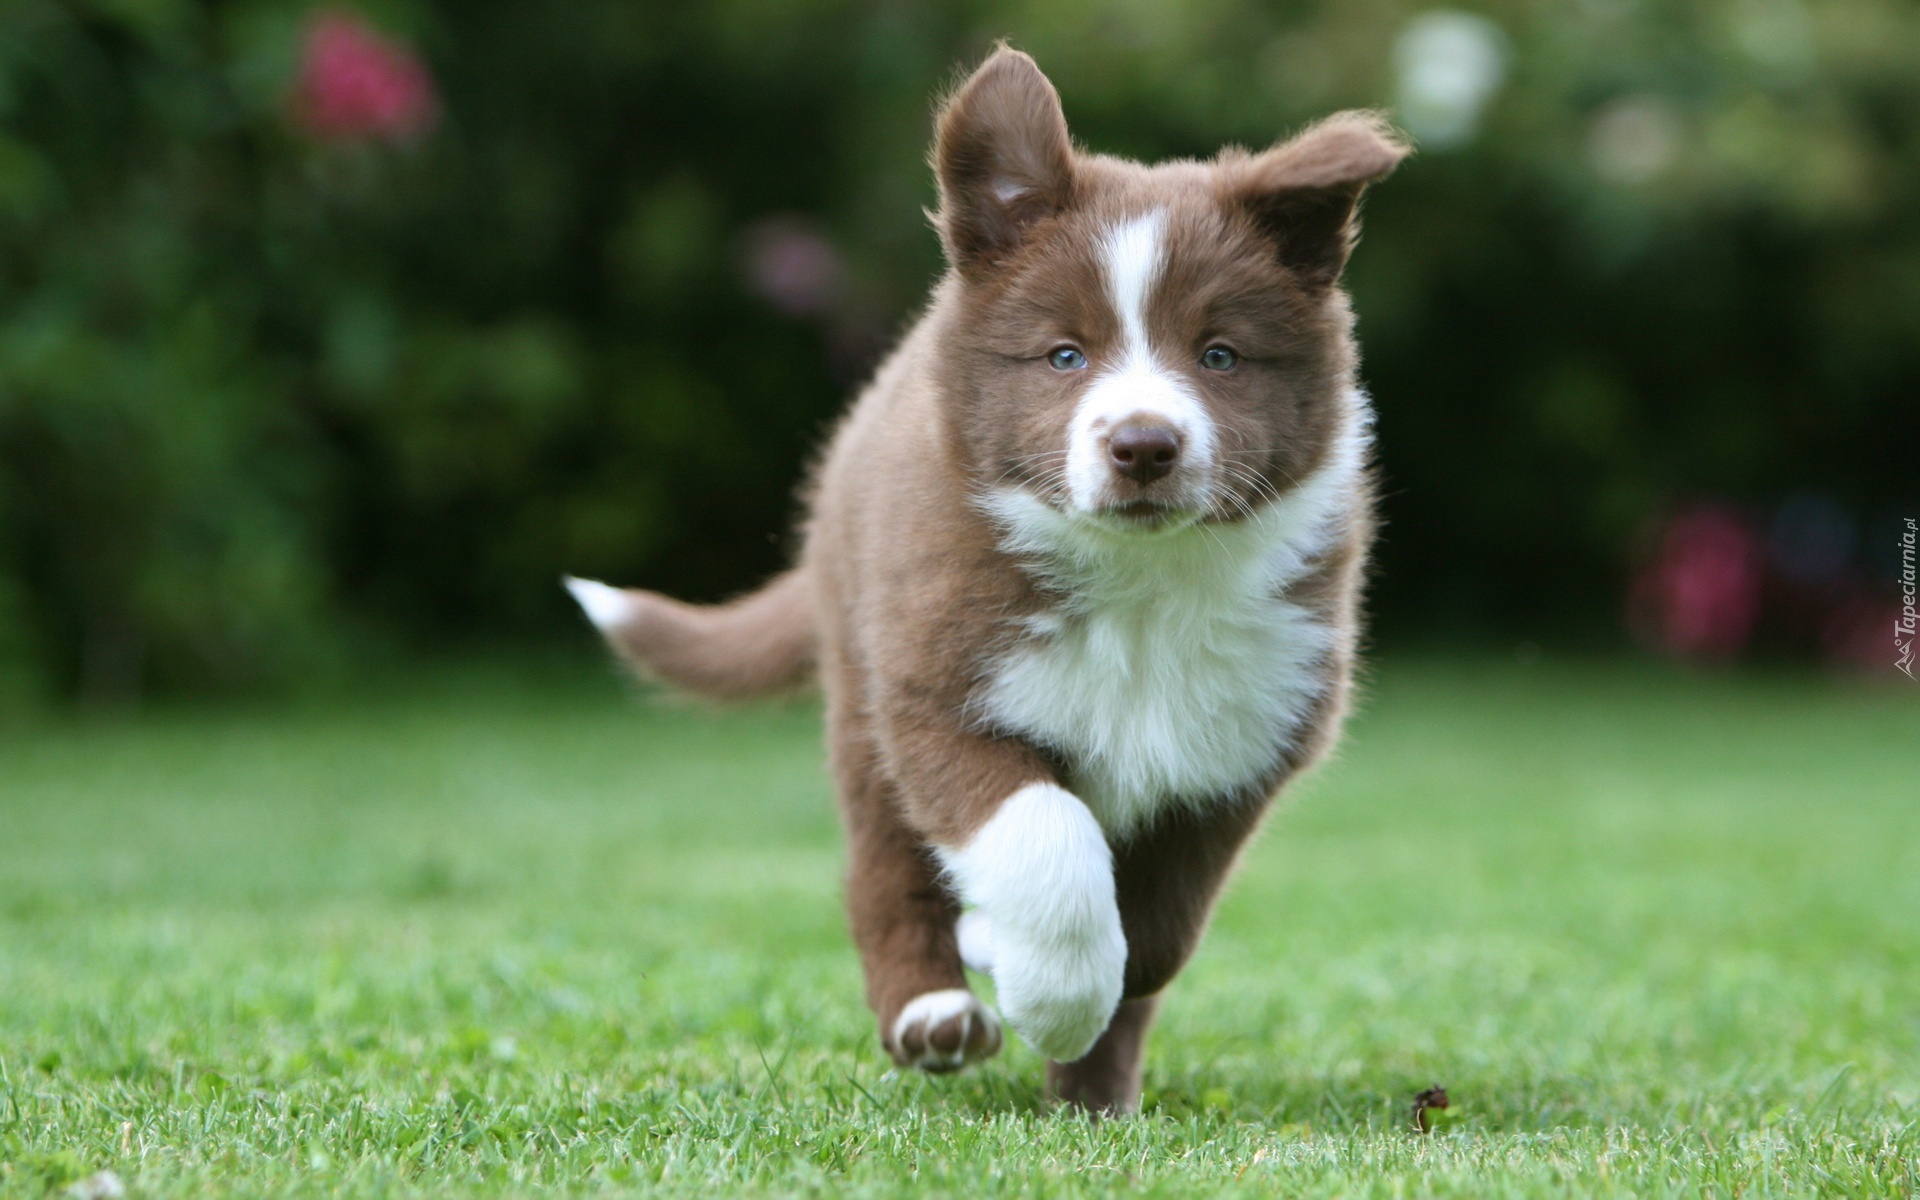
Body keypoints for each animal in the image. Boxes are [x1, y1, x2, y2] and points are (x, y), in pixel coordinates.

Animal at [560, 46, 1405, 1113]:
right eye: (1064, 355)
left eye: (1220, 355)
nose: (1143, 446)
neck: (1140, 584)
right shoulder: (937, 686)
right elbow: (1044, 837)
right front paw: (1051, 989)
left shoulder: (1246, 739)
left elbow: (1156, 933)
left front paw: (1065, 1004)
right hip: (861, 691)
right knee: (883, 869)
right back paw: (934, 1011)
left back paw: (1091, 1097)